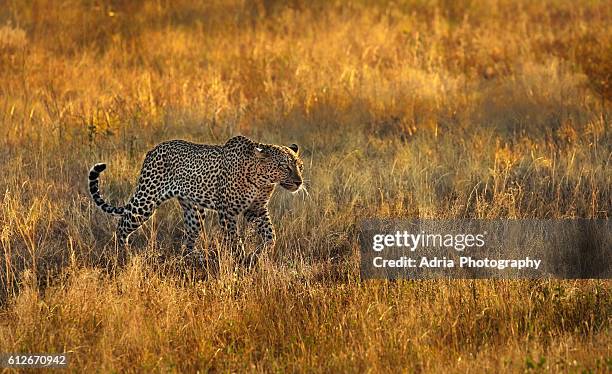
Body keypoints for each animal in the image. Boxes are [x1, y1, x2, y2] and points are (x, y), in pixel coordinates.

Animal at [87, 134, 304, 260]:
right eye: (284, 166)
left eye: (300, 166)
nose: (299, 182)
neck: (262, 181)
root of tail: (151, 151)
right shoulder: (228, 212)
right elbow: (234, 239)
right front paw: (241, 260)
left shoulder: (256, 210)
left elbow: (270, 234)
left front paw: (262, 253)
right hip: (146, 201)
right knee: (122, 225)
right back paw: (124, 255)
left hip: (194, 210)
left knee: (189, 237)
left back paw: (195, 258)